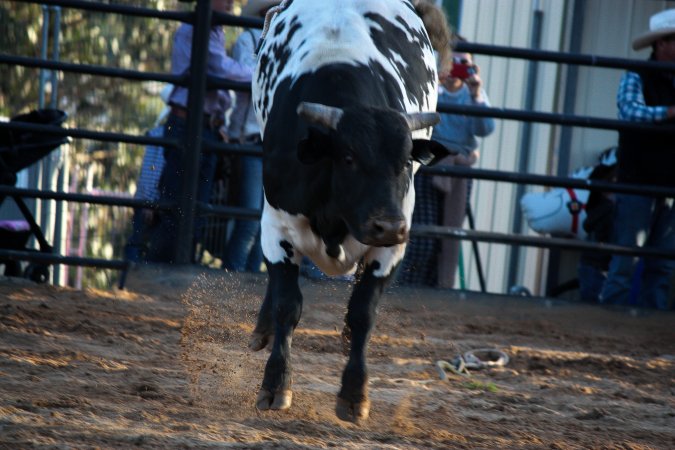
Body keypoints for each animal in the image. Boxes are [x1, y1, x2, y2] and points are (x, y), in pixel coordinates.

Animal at [249, 0, 450, 423]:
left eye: (405, 162)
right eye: (349, 158)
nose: (388, 225)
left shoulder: (391, 249)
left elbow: (363, 313)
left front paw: (355, 393)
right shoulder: (277, 227)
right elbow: (287, 304)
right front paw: (275, 385)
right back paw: (264, 330)